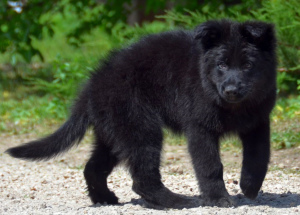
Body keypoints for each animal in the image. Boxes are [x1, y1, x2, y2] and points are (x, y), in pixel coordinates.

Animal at [5, 19, 276, 208]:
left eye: (247, 65)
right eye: (221, 65)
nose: (231, 90)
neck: (234, 106)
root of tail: (93, 84)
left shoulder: (258, 122)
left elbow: (258, 158)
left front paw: (249, 187)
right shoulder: (200, 128)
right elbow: (210, 165)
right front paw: (218, 199)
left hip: (113, 133)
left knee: (93, 168)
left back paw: (104, 198)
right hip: (140, 128)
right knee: (142, 179)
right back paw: (177, 202)